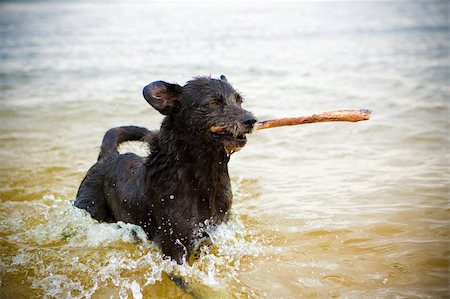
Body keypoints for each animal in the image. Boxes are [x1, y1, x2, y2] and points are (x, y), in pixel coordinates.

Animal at [74, 77, 256, 264]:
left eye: (239, 101)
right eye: (213, 102)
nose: (251, 120)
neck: (203, 178)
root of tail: (107, 156)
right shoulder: (175, 243)